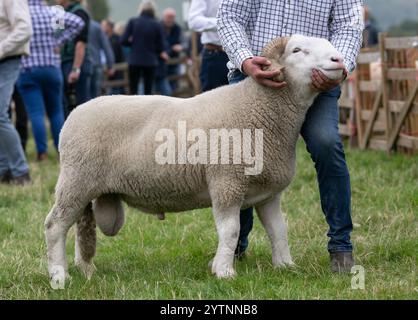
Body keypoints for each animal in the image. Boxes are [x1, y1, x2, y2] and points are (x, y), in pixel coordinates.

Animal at [45, 35, 346, 290]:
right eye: (297, 50)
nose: (338, 60)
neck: (259, 109)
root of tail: (74, 114)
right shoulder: (226, 181)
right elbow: (231, 230)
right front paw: (224, 271)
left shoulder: (268, 192)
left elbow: (278, 229)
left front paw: (285, 266)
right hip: (75, 181)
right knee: (55, 226)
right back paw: (60, 275)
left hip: (85, 188)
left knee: (80, 226)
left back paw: (86, 270)